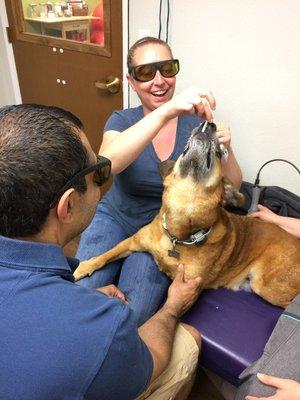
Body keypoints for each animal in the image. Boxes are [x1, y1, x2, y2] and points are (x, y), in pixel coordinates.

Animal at [73, 123, 300, 308]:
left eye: (219, 153)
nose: (209, 124)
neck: (177, 234)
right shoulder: (133, 242)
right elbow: (105, 255)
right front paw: (84, 267)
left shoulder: (186, 286)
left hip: (266, 285)